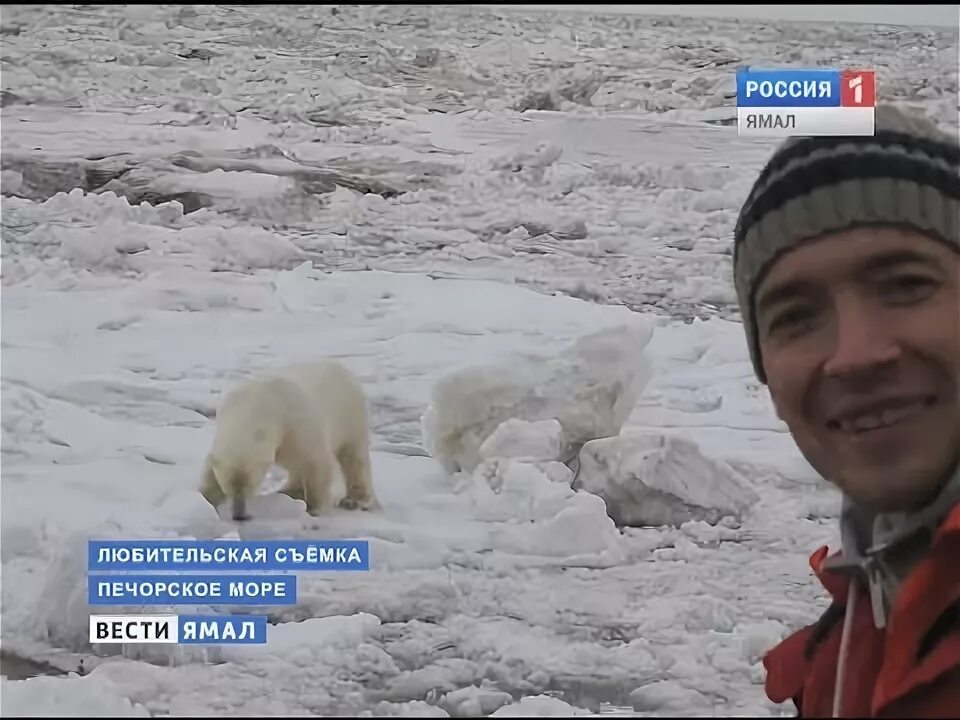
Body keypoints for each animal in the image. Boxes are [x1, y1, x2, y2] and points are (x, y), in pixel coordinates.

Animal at [199, 360, 378, 524]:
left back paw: (354, 500)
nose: (239, 514)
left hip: (348, 416)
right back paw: (289, 491)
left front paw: (315, 509)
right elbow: (209, 474)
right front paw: (205, 499)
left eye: (251, 487)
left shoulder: (295, 423)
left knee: (353, 456)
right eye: (227, 488)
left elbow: (316, 461)